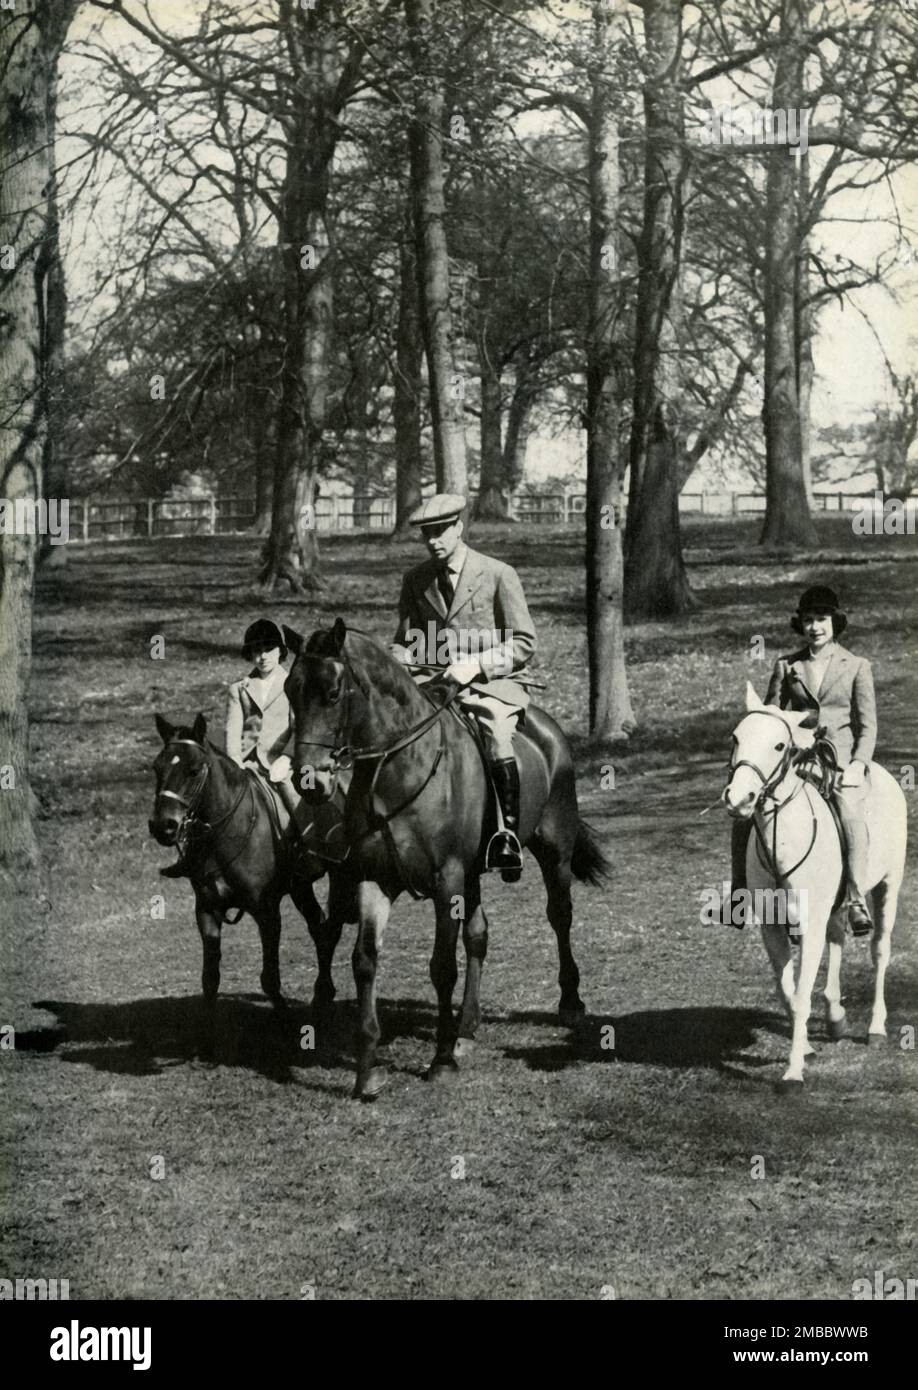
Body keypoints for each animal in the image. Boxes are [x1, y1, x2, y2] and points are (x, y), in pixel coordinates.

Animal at [148, 711, 353, 1045]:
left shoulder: (266, 911)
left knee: (330, 929)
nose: (162, 826)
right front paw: (207, 1040)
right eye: (157, 767)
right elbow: (210, 978)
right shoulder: (206, 910)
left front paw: (286, 1025)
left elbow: (269, 977)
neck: (226, 830)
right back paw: (323, 994)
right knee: (319, 925)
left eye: (194, 770)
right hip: (300, 886)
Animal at [280, 622, 609, 1095]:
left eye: (333, 692)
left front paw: (440, 1060)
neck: (397, 769)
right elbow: (364, 960)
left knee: (559, 915)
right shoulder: (374, 878)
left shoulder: (446, 879)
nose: (308, 781)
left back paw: (569, 1001)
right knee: (478, 935)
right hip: (473, 874)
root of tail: (547, 727)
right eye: (290, 690)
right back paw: (466, 1028)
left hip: (554, 851)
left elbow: (441, 968)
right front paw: (368, 1069)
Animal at [728, 683, 906, 1084]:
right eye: (736, 737)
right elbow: (788, 992)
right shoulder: (773, 928)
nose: (738, 799)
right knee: (838, 939)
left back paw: (875, 1027)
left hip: (889, 884)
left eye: (780, 745)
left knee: (880, 950)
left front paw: (794, 1070)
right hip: (836, 906)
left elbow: (801, 991)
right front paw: (806, 1046)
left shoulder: (809, 926)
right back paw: (836, 1015)